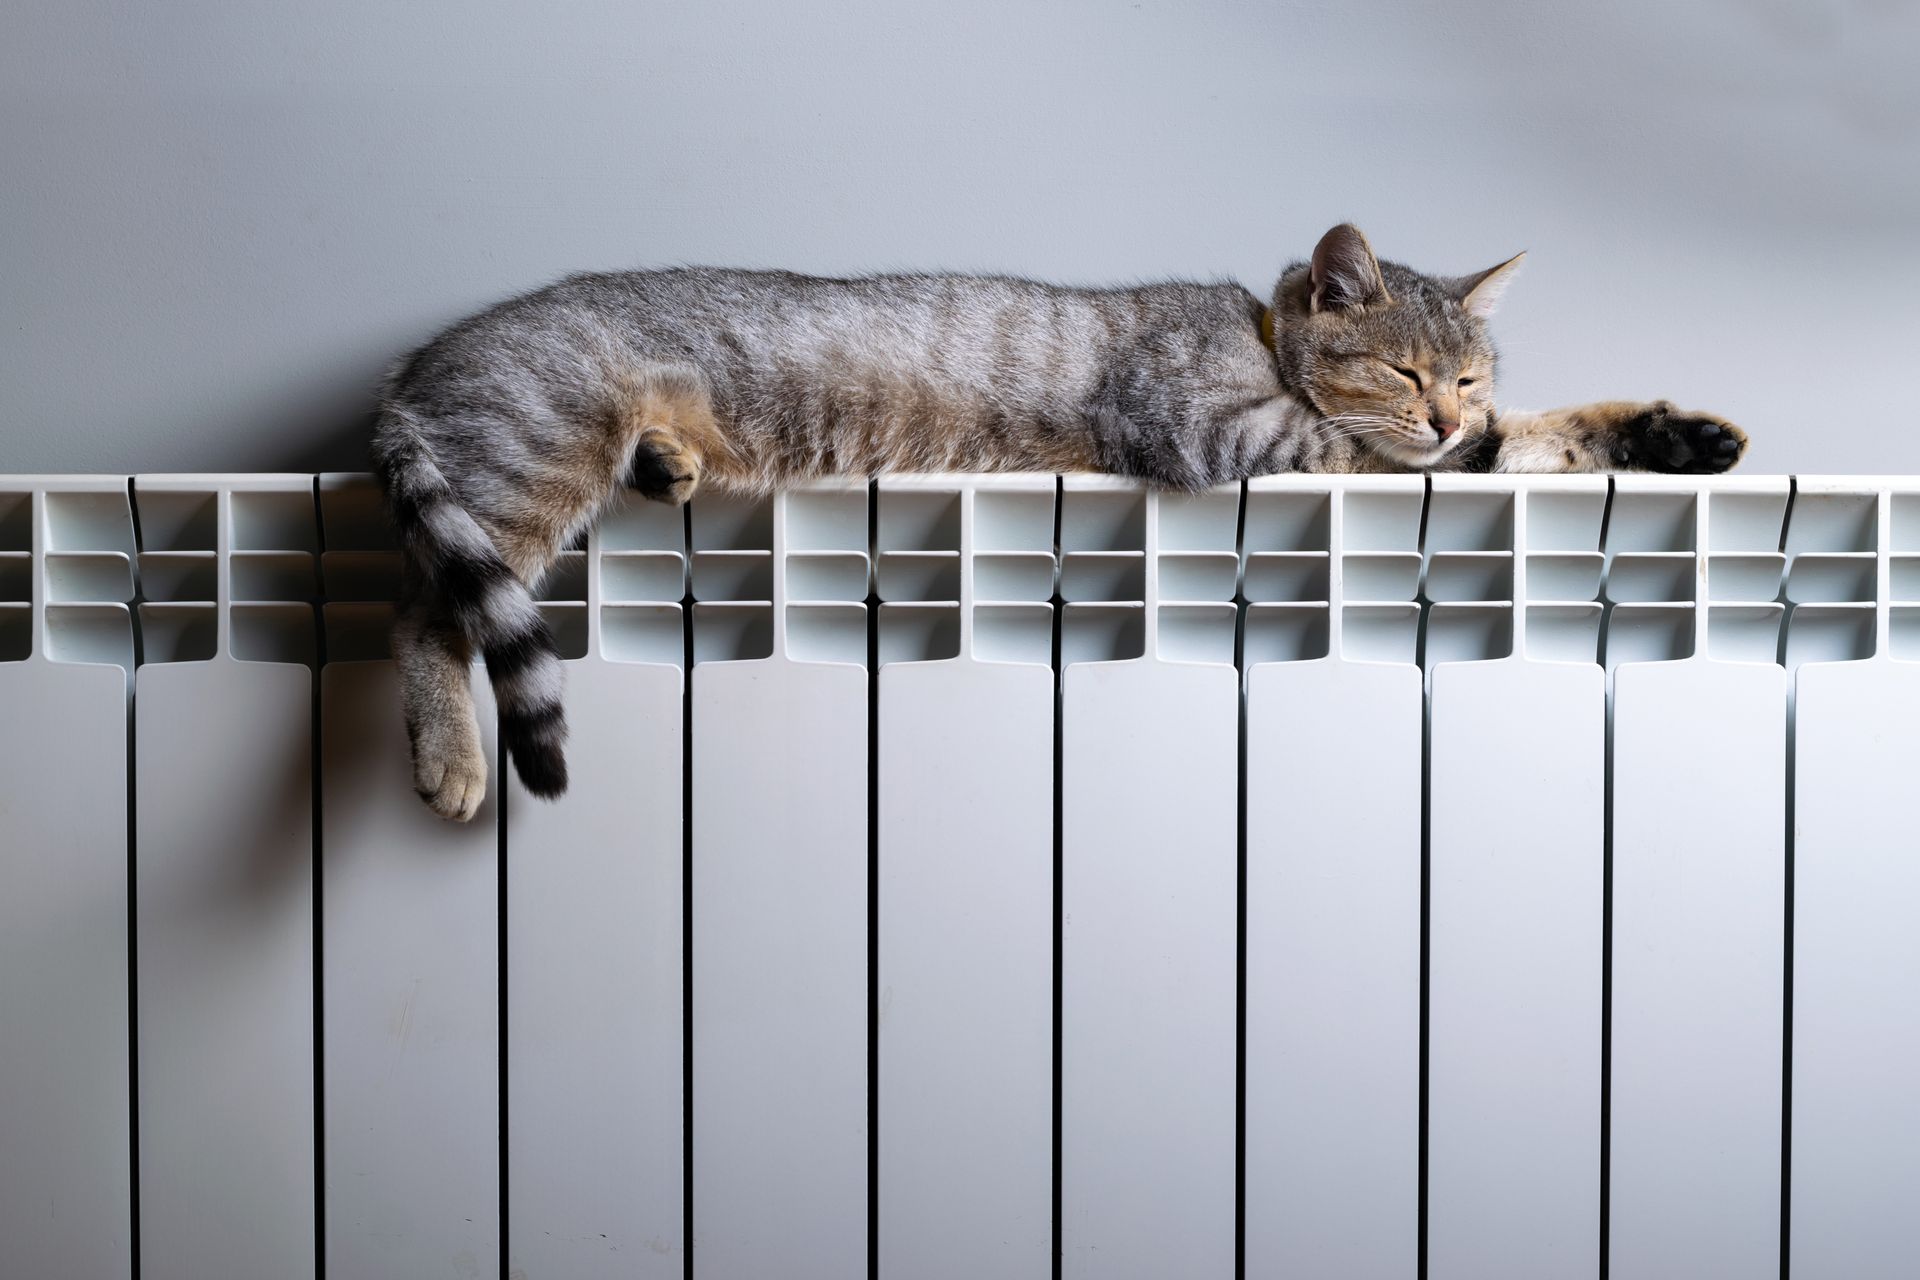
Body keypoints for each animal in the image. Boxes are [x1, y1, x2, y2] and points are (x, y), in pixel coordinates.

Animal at [366, 220, 1751, 821]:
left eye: (1469, 371)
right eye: (1406, 371)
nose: (1450, 409)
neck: (1257, 336)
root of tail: (411, 369)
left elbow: (1533, 441)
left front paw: (1677, 435)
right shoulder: (1235, 436)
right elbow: (1392, 456)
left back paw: (673, 459)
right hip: (533, 459)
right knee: (421, 615)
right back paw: (451, 757)